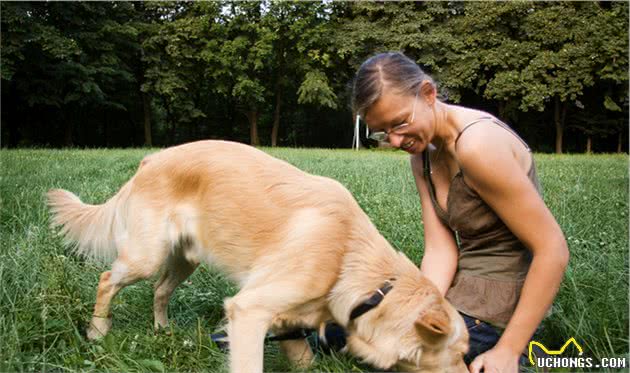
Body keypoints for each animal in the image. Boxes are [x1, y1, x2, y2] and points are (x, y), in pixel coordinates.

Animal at [47, 140, 466, 372]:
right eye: (460, 352)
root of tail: (149, 160)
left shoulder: (286, 322)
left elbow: (303, 360)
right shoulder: (248, 311)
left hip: (185, 258)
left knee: (160, 290)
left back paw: (163, 331)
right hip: (145, 257)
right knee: (108, 280)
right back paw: (97, 333)